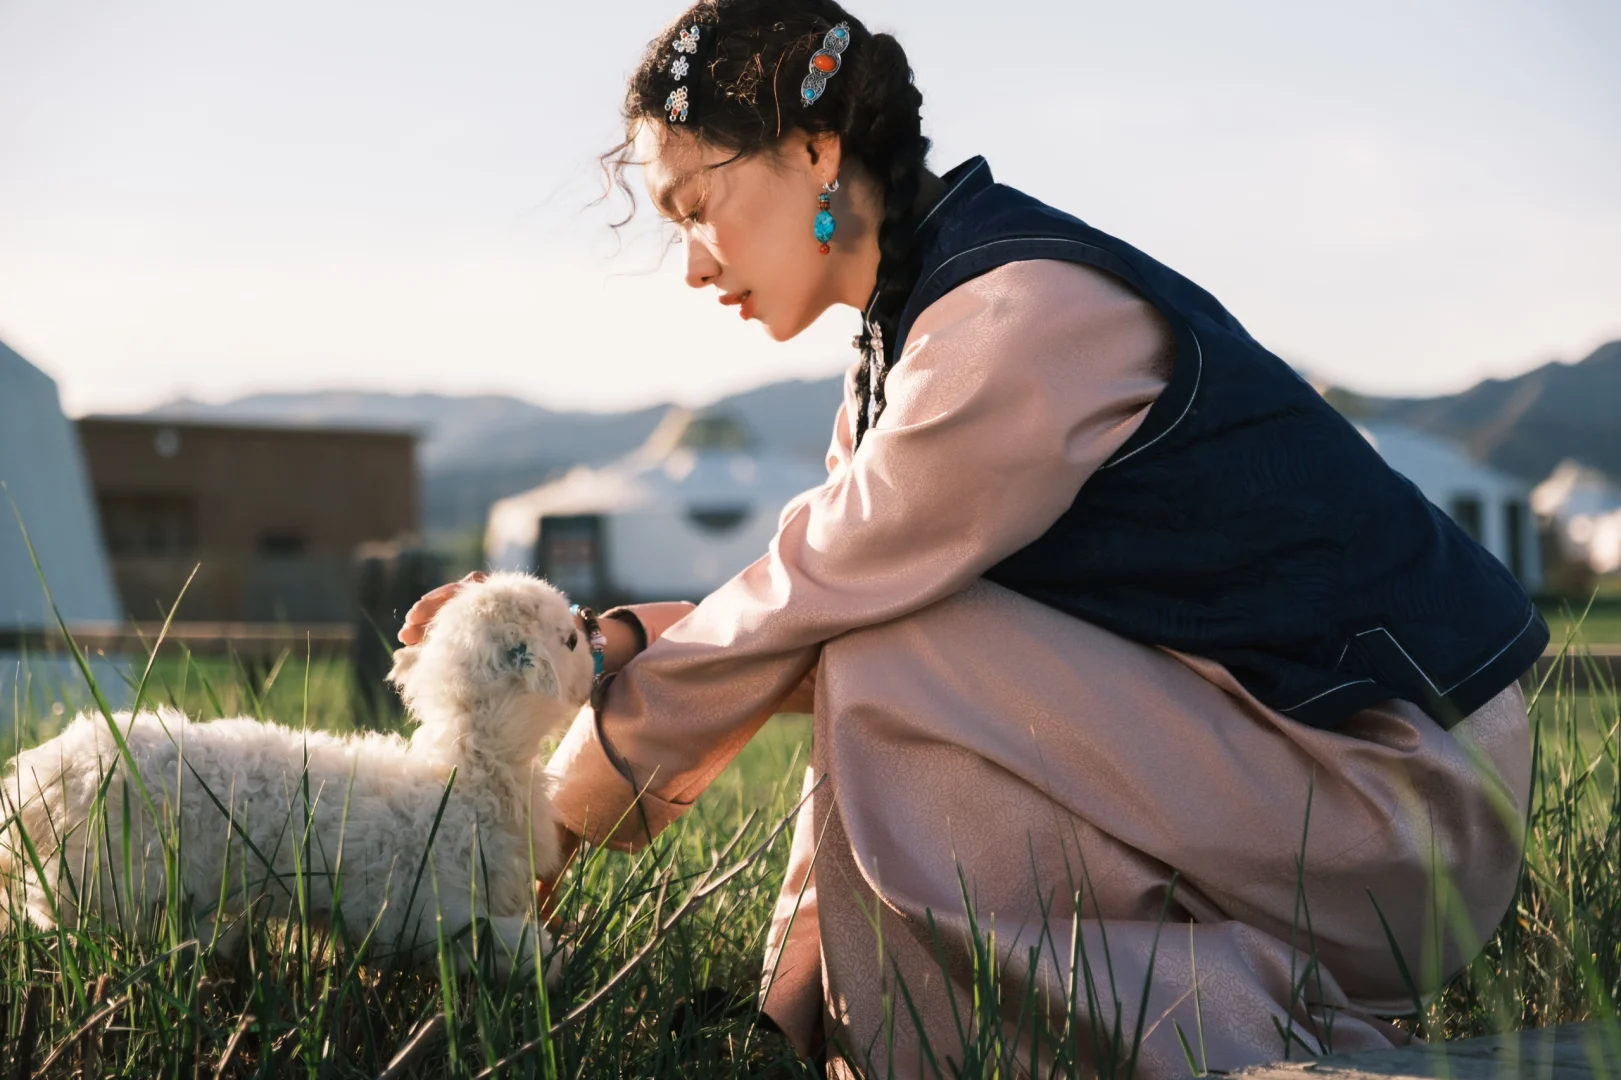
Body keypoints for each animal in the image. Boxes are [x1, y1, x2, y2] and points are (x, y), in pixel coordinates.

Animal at [0, 570, 590, 972]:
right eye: (569, 641)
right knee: (55, 909)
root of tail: (44, 774)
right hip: (109, 871)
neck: (467, 774)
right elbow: (511, 948)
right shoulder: (433, 910)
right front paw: (550, 957)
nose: (590, 626)